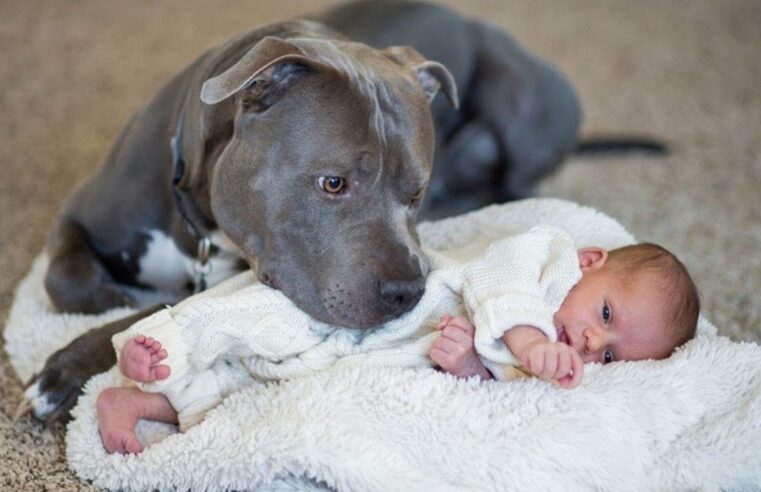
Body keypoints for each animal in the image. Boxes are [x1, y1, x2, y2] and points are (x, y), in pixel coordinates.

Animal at [23, 0, 580, 422]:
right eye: (333, 183)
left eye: (415, 194)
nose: (408, 293)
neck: (196, 222)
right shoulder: (77, 212)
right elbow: (64, 279)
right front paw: (110, 299)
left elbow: (151, 314)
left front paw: (67, 367)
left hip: (523, 106)